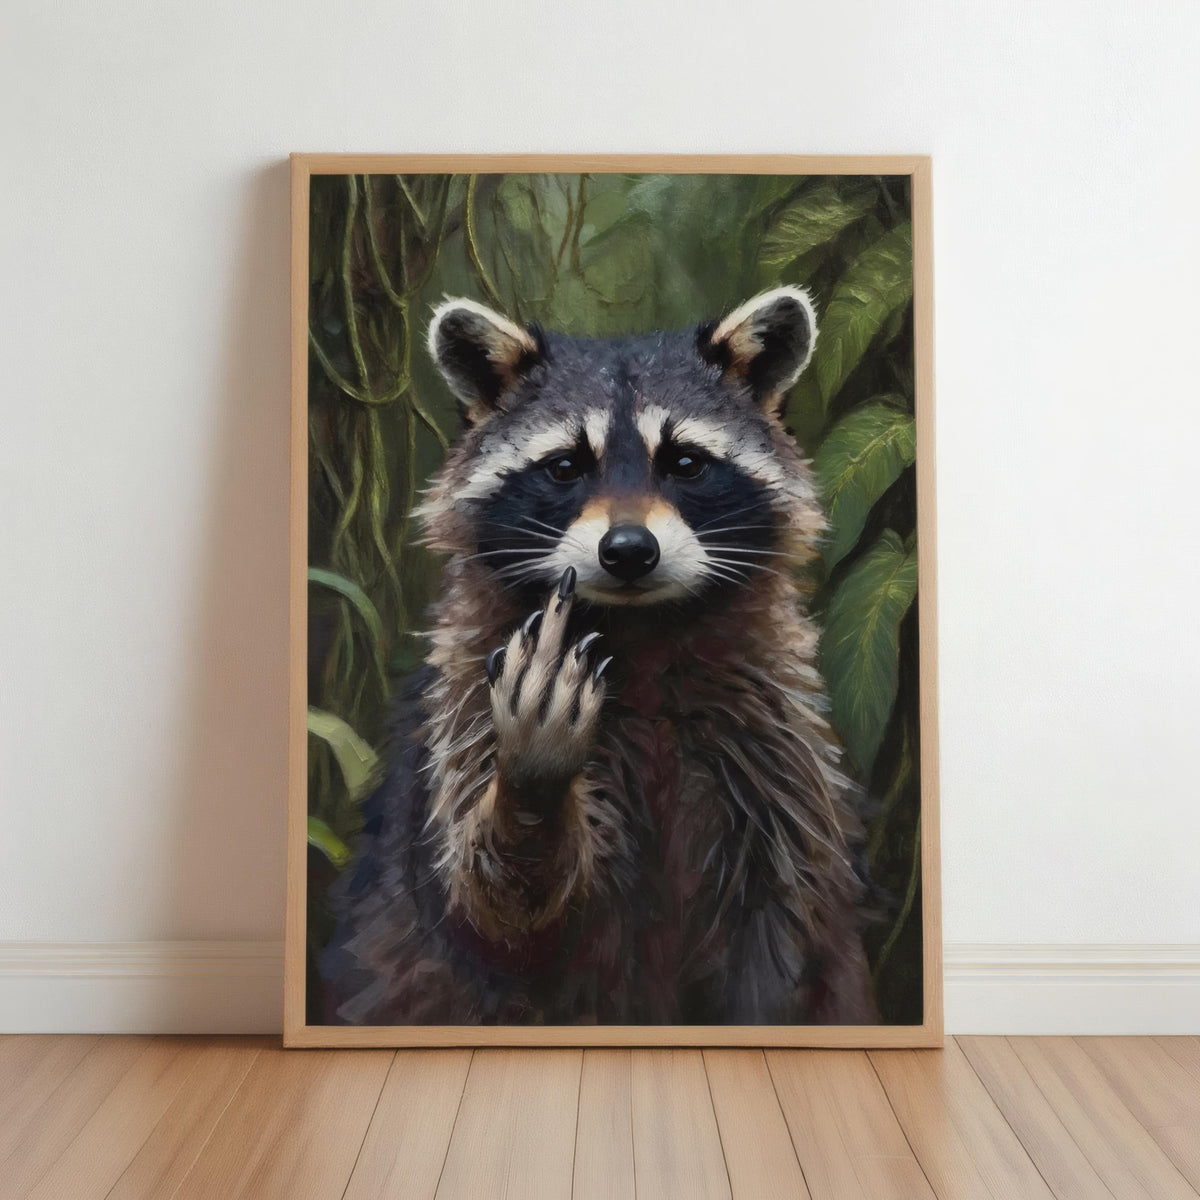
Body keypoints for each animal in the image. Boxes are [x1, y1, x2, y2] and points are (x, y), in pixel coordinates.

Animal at [319, 287, 876, 1026]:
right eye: (564, 467)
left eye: (686, 462)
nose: (630, 550)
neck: (639, 629)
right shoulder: (460, 707)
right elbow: (494, 907)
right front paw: (531, 781)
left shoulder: (774, 747)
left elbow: (781, 929)